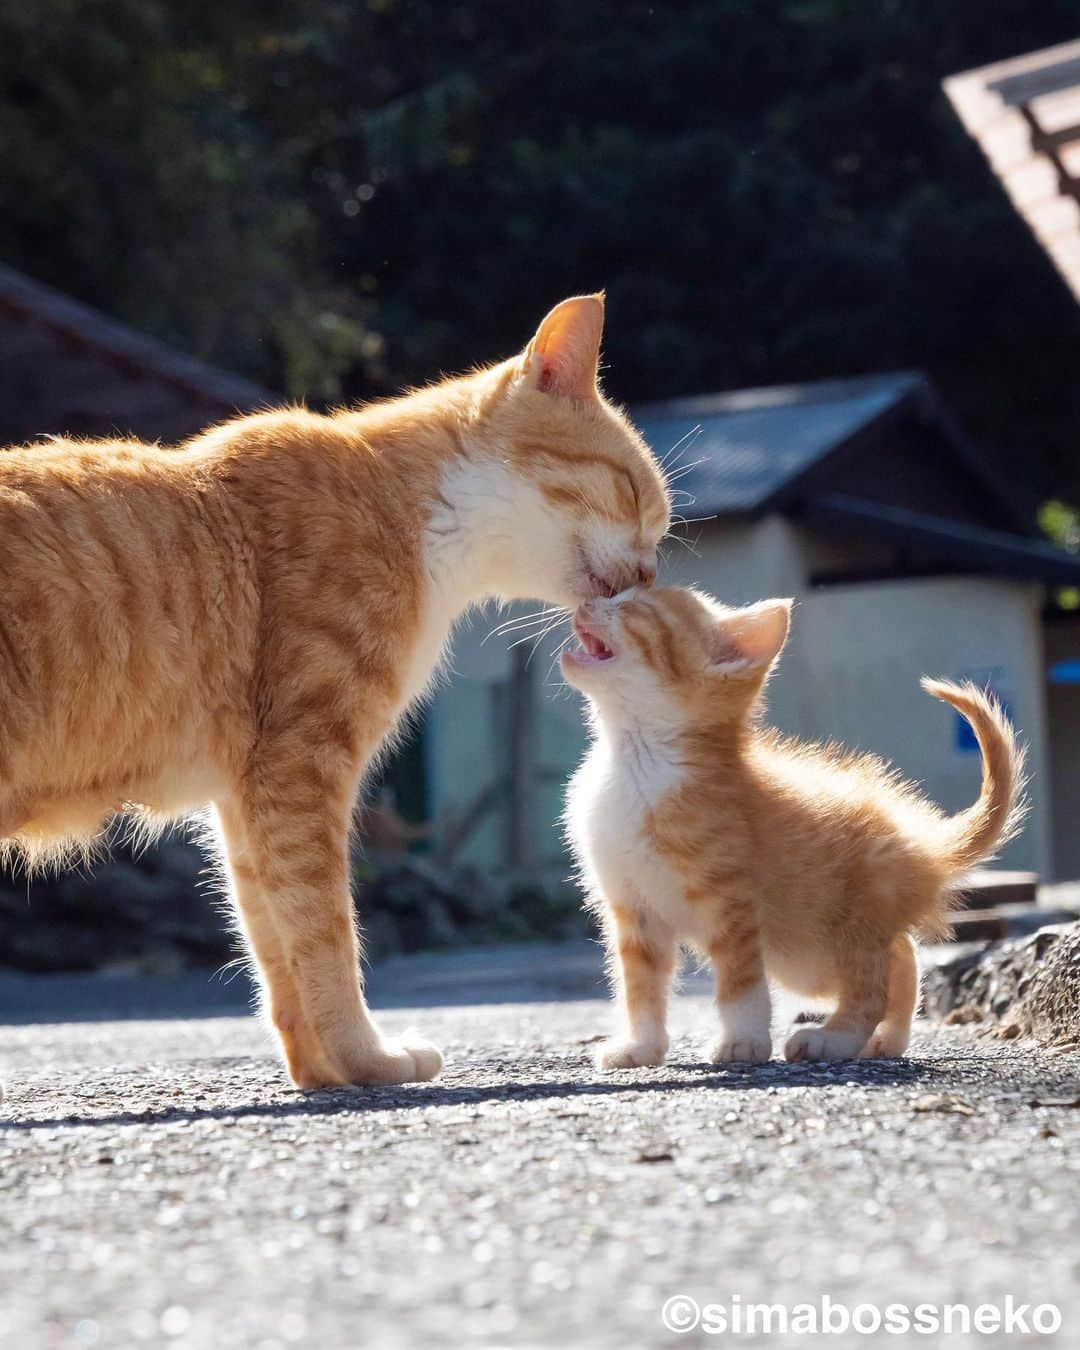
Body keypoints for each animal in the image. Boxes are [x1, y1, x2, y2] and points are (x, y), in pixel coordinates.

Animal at [0, 292, 669, 1085]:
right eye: (634, 495)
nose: (651, 575)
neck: (409, 512)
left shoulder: (249, 796)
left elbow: (274, 942)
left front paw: (321, 1070)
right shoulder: (301, 765)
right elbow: (325, 930)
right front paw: (368, 1057)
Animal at [561, 588, 1026, 1063]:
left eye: (633, 605)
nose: (586, 601)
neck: (638, 763)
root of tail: (922, 845)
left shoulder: (733, 901)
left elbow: (740, 980)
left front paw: (742, 1040)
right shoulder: (632, 907)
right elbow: (640, 985)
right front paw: (641, 1046)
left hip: (847, 925)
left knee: (872, 984)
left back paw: (834, 1038)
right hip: (808, 956)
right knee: (903, 955)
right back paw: (887, 1039)